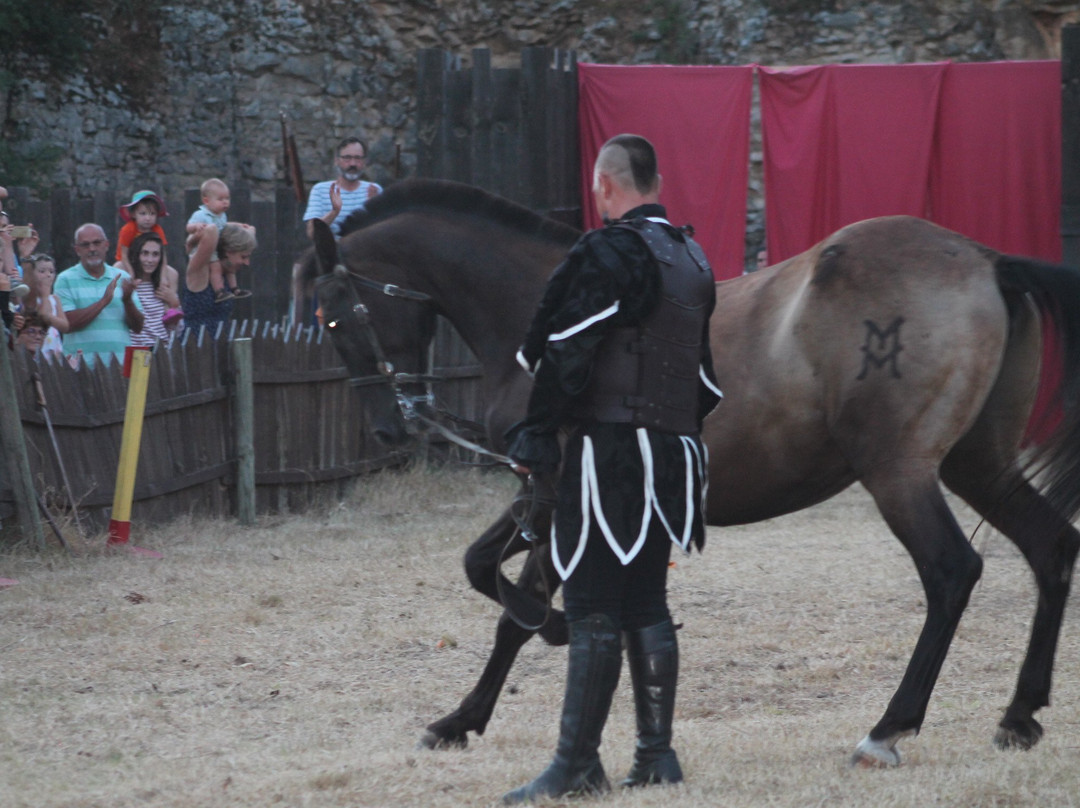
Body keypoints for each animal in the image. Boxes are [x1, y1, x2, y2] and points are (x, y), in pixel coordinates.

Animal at [300, 178, 1080, 769]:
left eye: (333, 317)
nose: (390, 425)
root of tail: (984, 258)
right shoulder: (542, 492)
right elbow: (480, 567)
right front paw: (473, 709)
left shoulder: (554, 492)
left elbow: (515, 611)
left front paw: (503, 676)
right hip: (978, 464)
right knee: (1051, 547)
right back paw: (1019, 714)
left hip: (899, 474)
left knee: (951, 572)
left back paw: (889, 728)